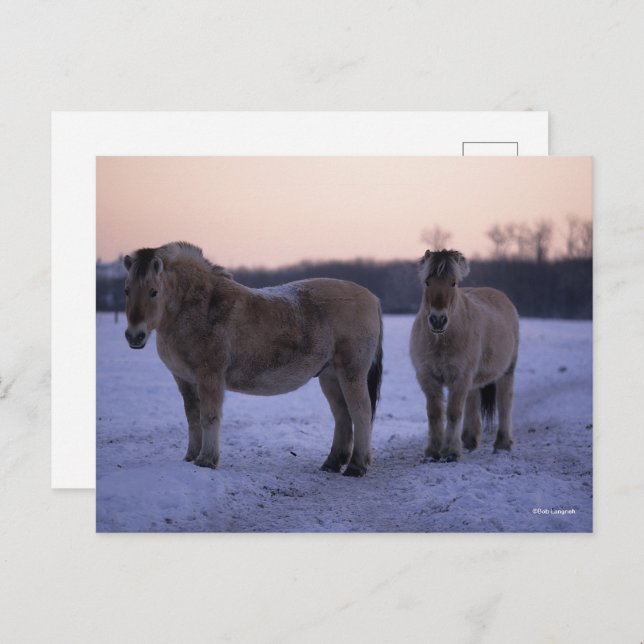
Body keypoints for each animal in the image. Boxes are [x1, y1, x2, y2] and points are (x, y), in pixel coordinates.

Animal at [122, 242, 383, 477]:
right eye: (126, 290)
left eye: (154, 291)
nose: (135, 336)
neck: (201, 307)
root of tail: (372, 298)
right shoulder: (184, 380)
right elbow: (193, 418)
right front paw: (190, 458)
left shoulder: (210, 376)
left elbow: (209, 417)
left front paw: (206, 461)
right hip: (329, 376)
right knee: (342, 416)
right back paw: (332, 463)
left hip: (351, 372)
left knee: (360, 412)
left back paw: (356, 467)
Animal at [409, 249, 519, 461]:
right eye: (427, 282)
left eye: (453, 283)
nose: (438, 320)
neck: (441, 340)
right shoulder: (427, 377)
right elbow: (435, 413)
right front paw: (433, 451)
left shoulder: (460, 377)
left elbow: (453, 412)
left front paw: (451, 452)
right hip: (473, 378)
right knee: (473, 400)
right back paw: (468, 441)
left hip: (506, 372)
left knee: (505, 403)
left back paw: (502, 444)